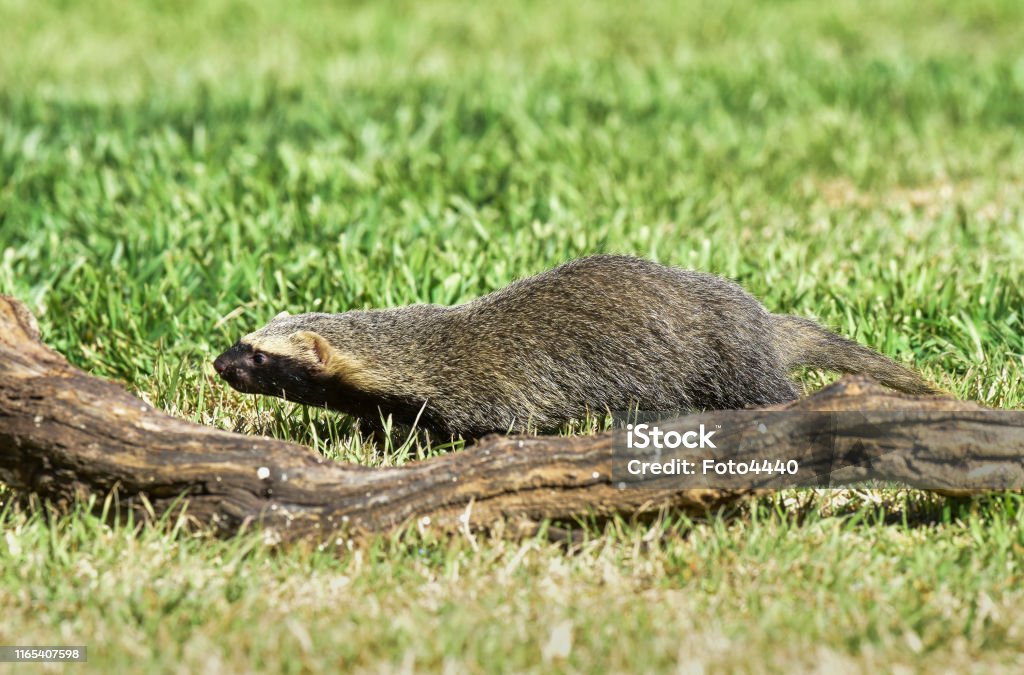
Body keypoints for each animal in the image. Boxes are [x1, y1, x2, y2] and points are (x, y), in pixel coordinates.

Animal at [214, 255, 938, 439]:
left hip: (727, 366)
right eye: (243, 340)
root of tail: (761, 320)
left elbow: (499, 430)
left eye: (258, 356)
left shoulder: (488, 397)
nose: (217, 362)